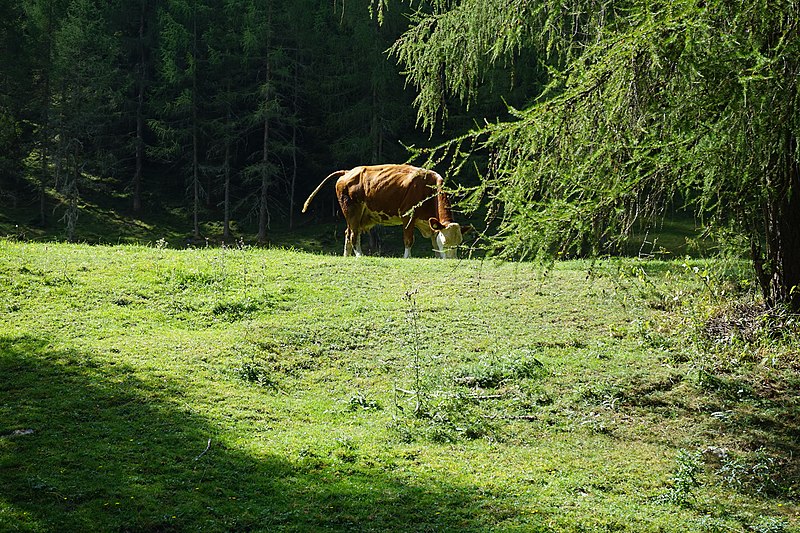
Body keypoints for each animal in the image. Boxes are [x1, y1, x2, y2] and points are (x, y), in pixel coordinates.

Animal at [304, 164, 472, 260]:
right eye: (446, 242)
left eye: (459, 243)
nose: (451, 260)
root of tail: (348, 172)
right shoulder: (408, 216)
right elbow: (408, 239)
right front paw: (407, 257)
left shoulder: (429, 223)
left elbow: (433, 241)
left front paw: (438, 257)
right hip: (352, 211)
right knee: (353, 234)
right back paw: (359, 255)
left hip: (358, 216)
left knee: (349, 233)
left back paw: (347, 256)